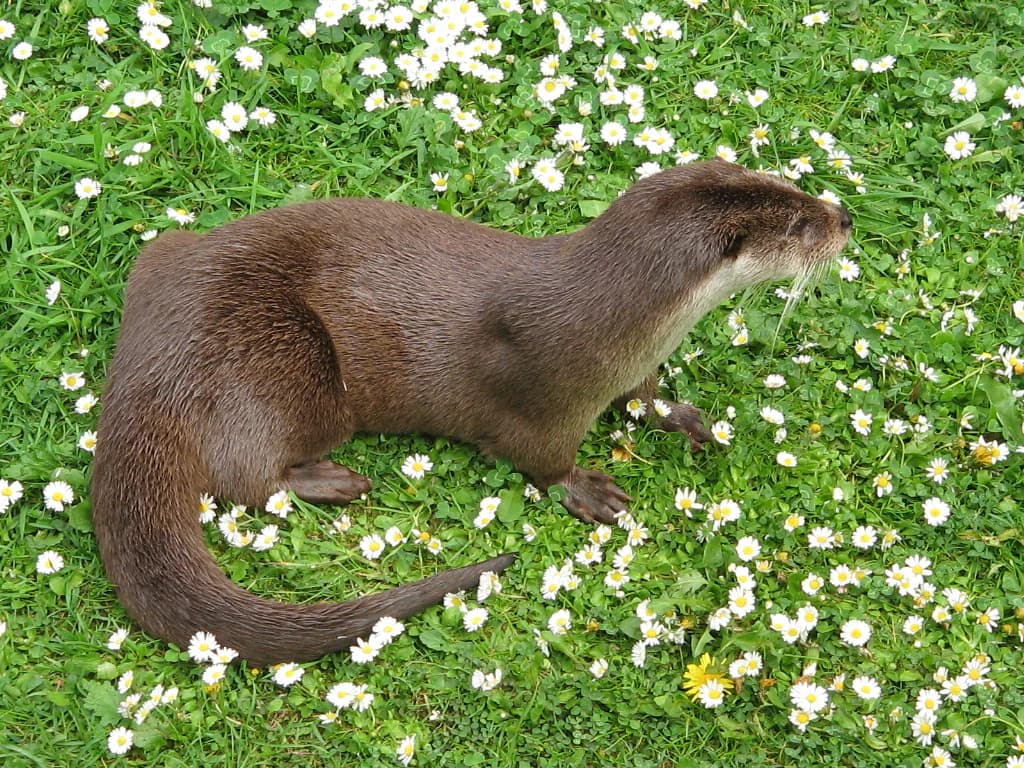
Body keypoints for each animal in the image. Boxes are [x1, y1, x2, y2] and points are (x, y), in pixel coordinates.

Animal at [91, 160, 851, 665]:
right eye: (797, 224)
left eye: (791, 185)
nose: (842, 217)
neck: (613, 324)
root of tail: (144, 369)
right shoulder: (544, 399)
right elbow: (540, 460)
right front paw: (589, 490)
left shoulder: (637, 368)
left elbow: (647, 397)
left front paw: (686, 418)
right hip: (280, 367)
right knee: (243, 476)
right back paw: (332, 481)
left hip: (164, 258)